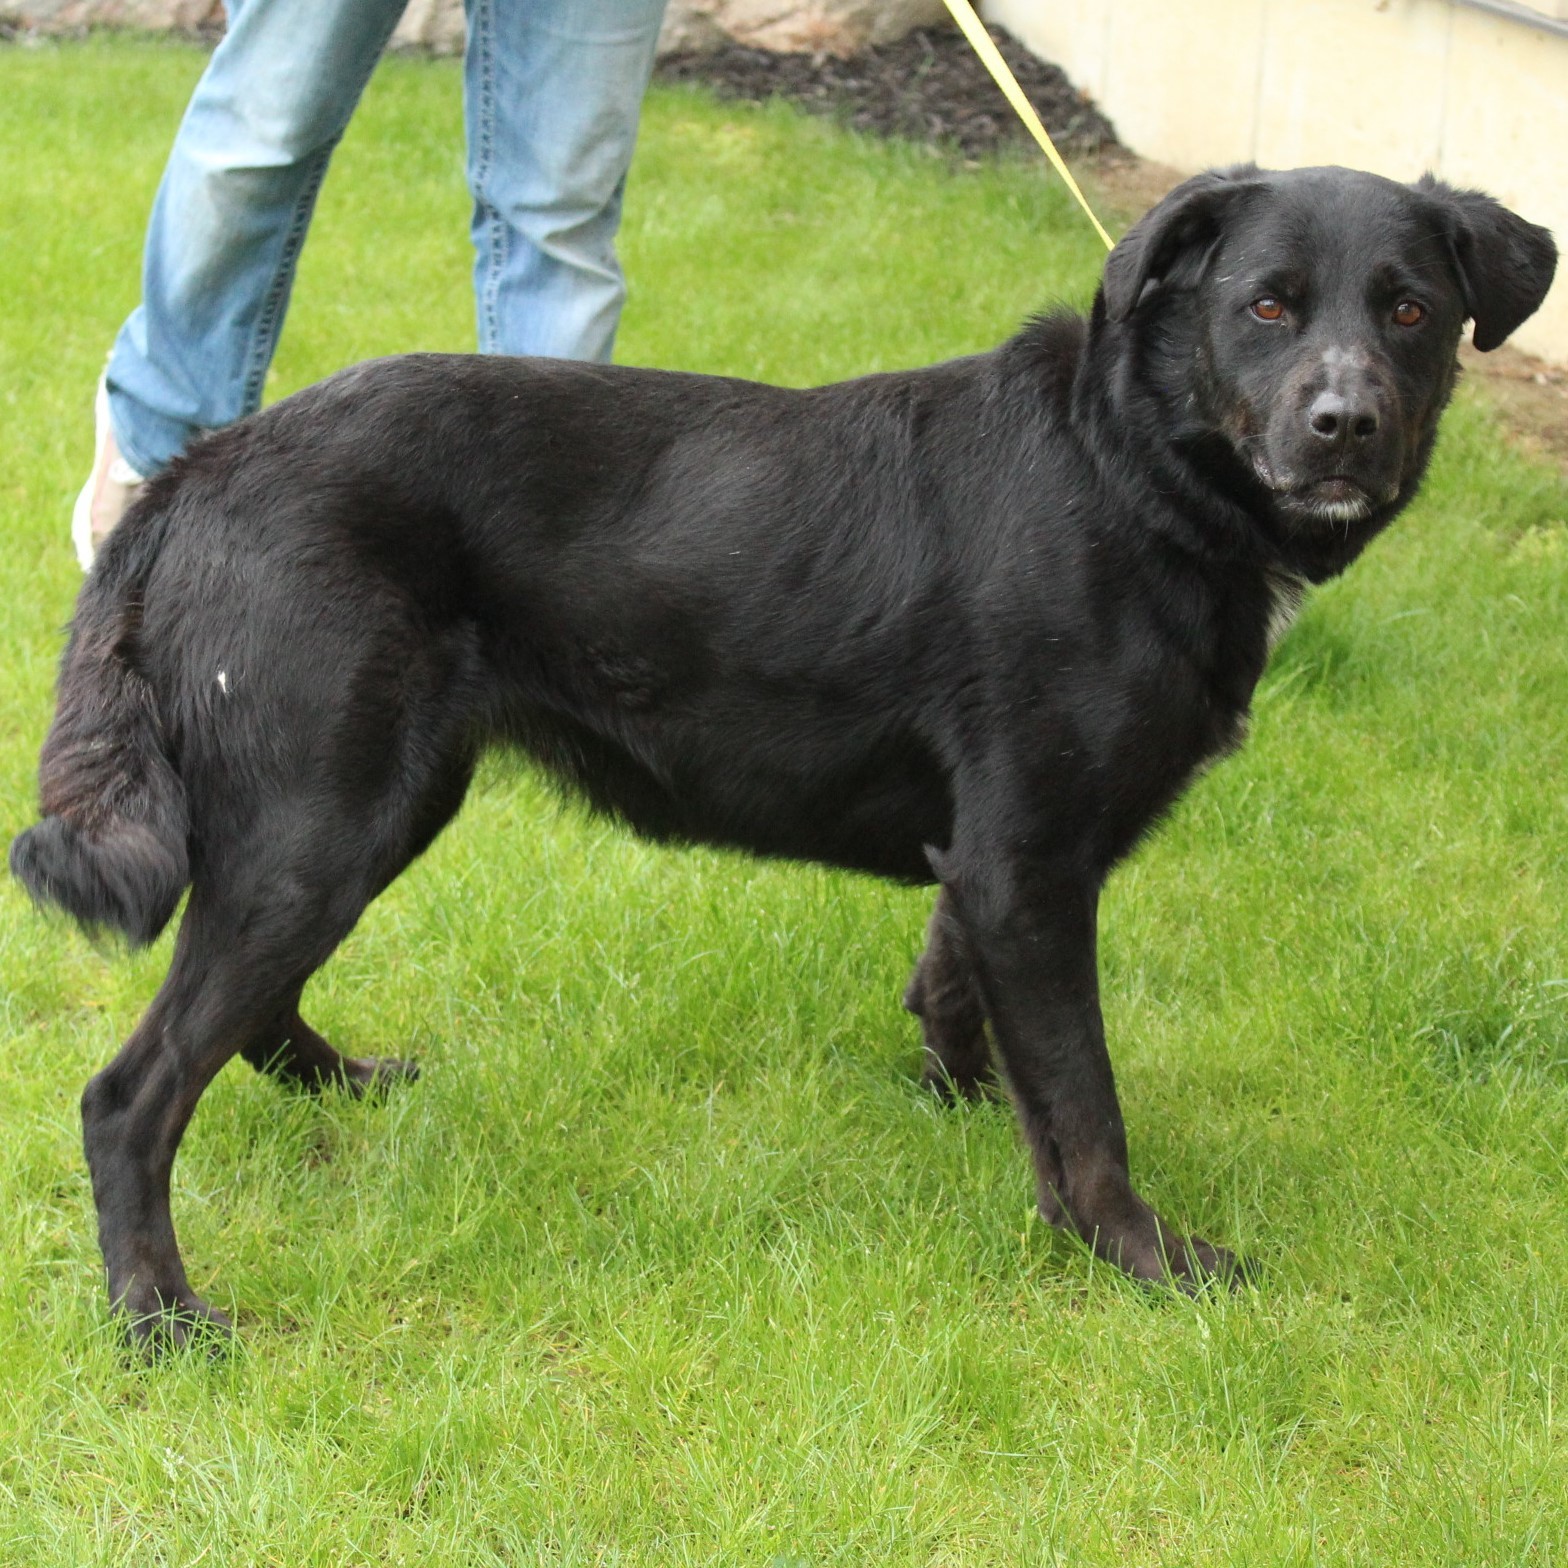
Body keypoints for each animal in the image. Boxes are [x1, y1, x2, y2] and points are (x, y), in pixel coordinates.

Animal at [12, 168, 1555, 1348]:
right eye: (1266, 306)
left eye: (1410, 310)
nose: (1345, 424)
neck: (1125, 469)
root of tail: (200, 471)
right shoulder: (1032, 863)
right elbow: (1087, 1097)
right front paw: (1137, 1257)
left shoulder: (991, 859)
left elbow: (963, 999)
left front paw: (968, 1117)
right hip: (321, 818)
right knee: (129, 1095)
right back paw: (159, 1319)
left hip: (356, 808)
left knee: (246, 1015)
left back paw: (337, 1089)